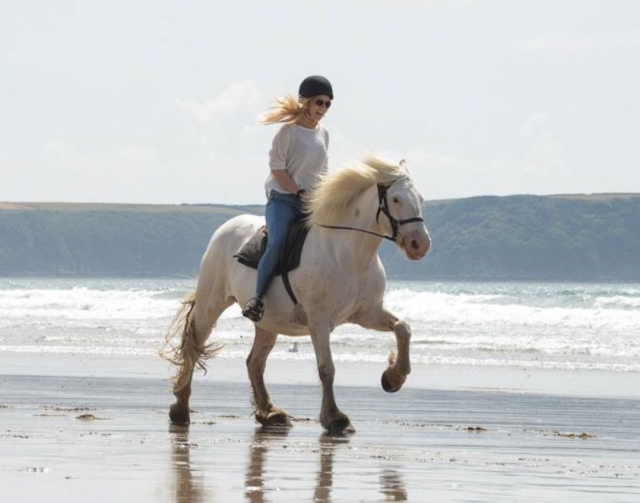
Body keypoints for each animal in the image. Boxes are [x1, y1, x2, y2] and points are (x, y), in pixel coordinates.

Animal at [163, 156, 431, 435]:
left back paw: (270, 413)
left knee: (254, 363)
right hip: (211, 304)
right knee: (194, 347)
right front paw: (335, 417)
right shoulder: (319, 321)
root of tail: (226, 227)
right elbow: (326, 368)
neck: (346, 253)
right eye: (396, 199)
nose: (420, 245)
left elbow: (403, 328)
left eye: (421, 199)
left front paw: (393, 378)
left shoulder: (368, 313)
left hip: (267, 322)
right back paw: (181, 409)